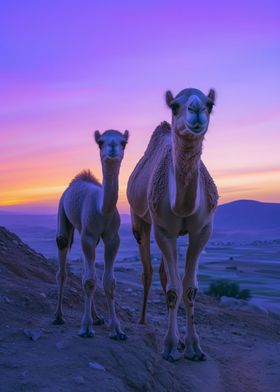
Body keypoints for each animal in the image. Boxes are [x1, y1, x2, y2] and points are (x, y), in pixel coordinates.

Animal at [53, 129, 129, 340]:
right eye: (101, 142)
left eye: (124, 142)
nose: (113, 147)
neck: (101, 209)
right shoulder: (87, 236)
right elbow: (89, 281)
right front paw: (86, 328)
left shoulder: (112, 238)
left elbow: (108, 282)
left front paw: (117, 329)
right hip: (63, 212)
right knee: (63, 263)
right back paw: (58, 316)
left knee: (86, 271)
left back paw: (97, 317)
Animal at [127, 88, 219, 362]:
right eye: (175, 105)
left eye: (210, 104)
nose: (196, 109)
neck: (184, 204)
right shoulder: (163, 230)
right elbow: (173, 290)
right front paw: (169, 345)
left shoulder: (202, 230)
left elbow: (188, 288)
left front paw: (194, 347)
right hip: (140, 221)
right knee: (148, 272)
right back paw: (143, 319)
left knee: (163, 274)